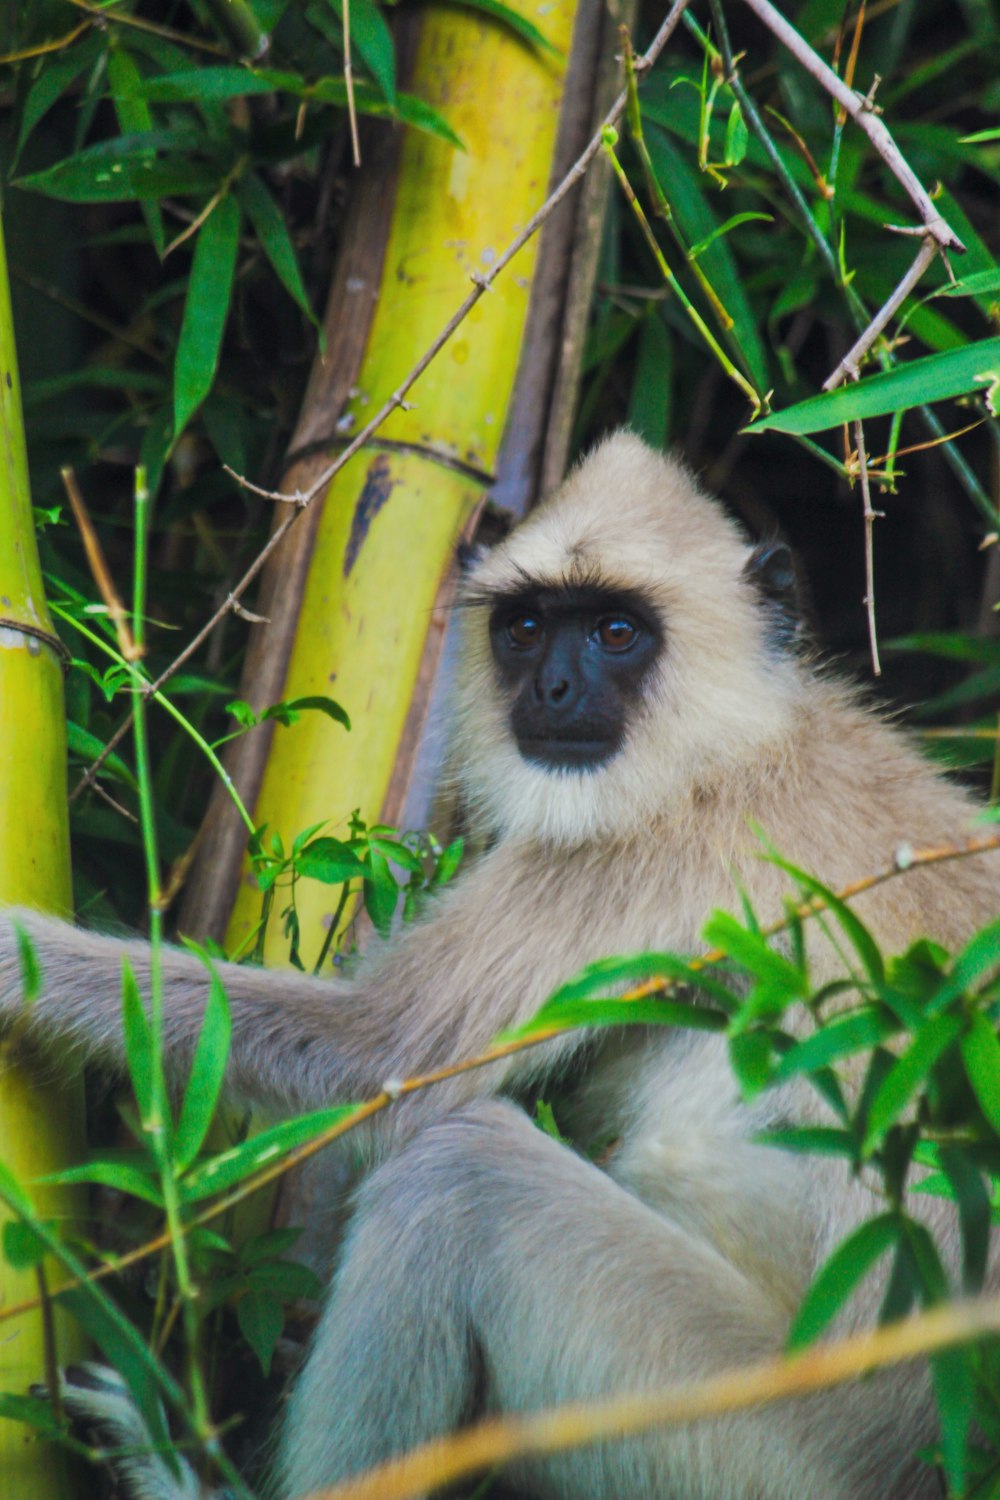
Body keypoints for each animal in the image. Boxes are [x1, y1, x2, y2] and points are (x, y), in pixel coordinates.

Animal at [1, 426, 1000, 1500]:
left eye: (614, 632)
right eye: (524, 629)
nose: (550, 690)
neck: (739, 740)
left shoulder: (647, 850)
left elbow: (379, 1059)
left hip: (751, 1434)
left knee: (459, 1174)